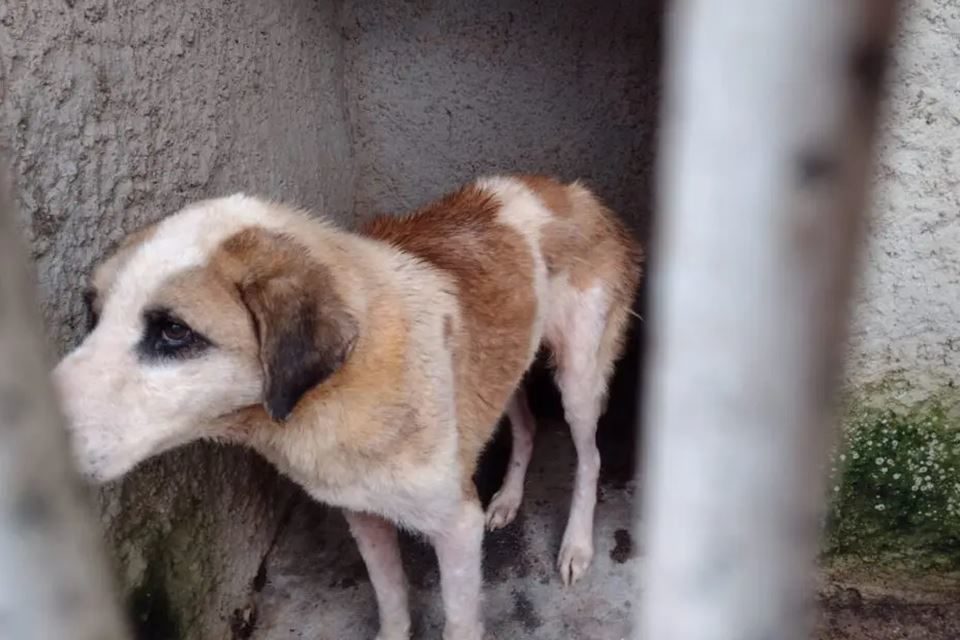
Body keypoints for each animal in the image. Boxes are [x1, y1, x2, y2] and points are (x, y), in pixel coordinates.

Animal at [52, 174, 640, 640]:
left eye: (174, 331)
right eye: (93, 313)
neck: (347, 382)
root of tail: (570, 190)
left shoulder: (456, 528)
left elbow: (458, 621)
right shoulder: (362, 513)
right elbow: (391, 602)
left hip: (578, 376)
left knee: (589, 457)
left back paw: (576, 545)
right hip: (507, 362)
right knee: (525, 424)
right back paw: (509, 499)